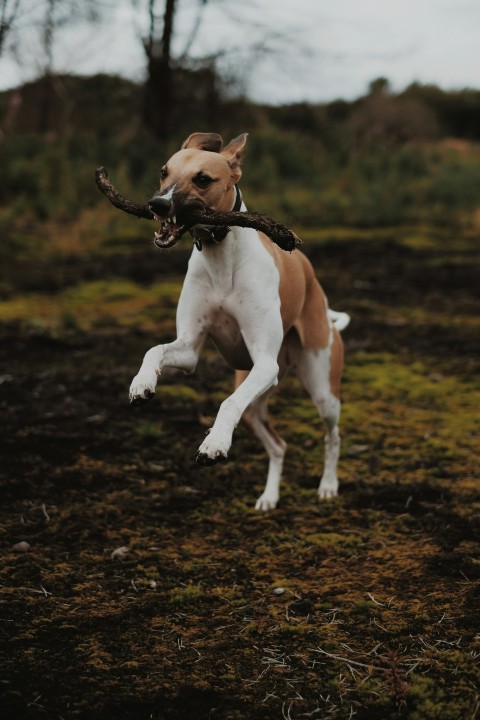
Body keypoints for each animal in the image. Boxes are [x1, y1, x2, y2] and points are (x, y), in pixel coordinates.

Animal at [129, 132, 350, 510]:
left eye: (203, 179)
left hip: (319, 389)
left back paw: (328, 484)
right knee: (278, 445)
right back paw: (269, 496)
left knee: (331, 437)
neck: (220, 256)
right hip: (255, 401)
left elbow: (226, 402)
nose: (157, 204)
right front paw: (142, 383)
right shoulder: (189, 349)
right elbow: (154, 350)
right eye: (163, 171)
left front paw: (214, 443)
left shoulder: (264, 362)